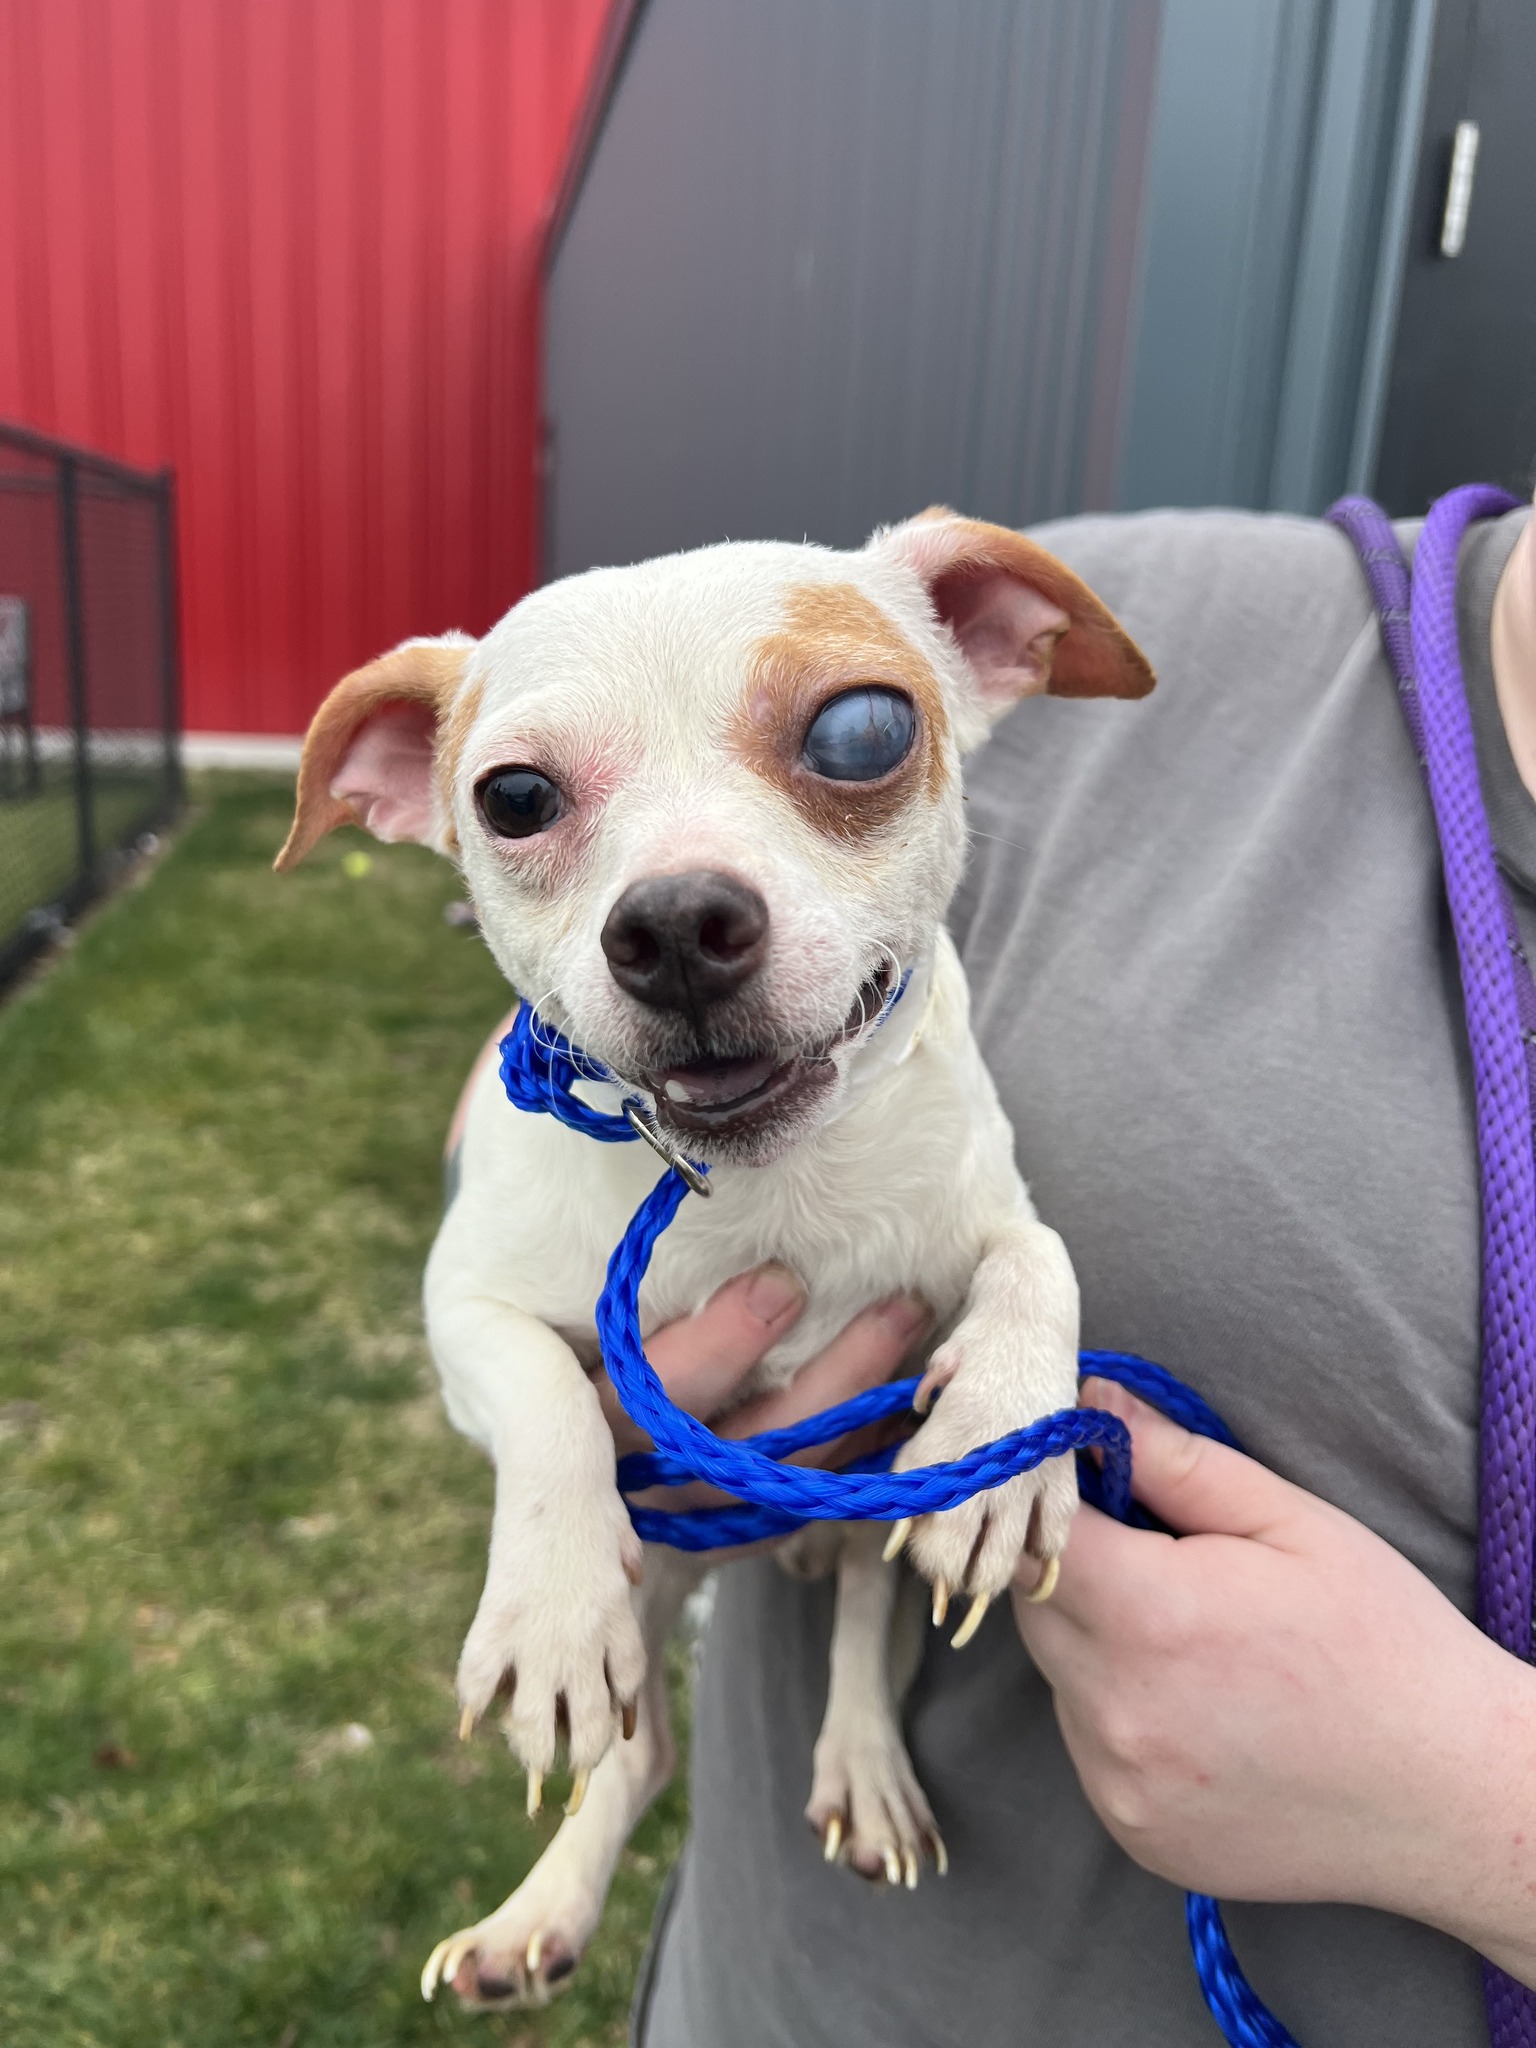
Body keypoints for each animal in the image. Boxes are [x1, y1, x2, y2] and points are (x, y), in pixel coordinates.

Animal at [276, 503, 1146, 2007]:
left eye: (862, 730)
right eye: (512, 798)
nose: (676, 921)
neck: (764, 1189)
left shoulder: (981, 1222)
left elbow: (1039, 1259)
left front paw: (1004, 1435)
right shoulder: (467, 1310)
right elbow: (553, 1405)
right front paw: (553, 1615)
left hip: (866, 1510)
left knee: (860, 1617)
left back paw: (864, 1765)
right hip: (668, 1556)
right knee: (642, 1754)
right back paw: (538, 1913)